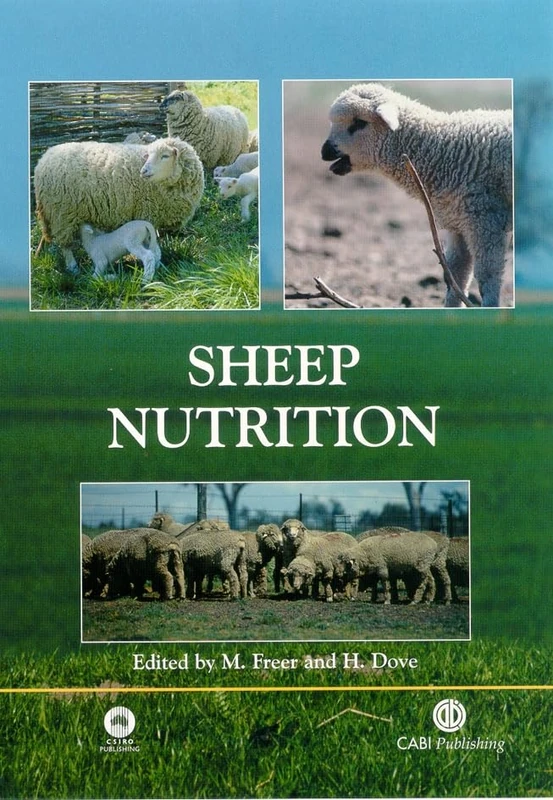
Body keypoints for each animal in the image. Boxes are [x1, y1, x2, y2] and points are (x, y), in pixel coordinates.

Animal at [34, 137, 204, 273]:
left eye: (165, 156)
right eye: (148, 155)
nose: (144, 171)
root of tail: (43, 159)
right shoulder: (147, 212)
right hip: (62, 213)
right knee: (65, 245)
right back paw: (73, 267)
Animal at [321, 82, 513, 307]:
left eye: (359, 122)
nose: (325, 151)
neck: (445, 151)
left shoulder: (485, 218)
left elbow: (487, 276)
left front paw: (490, 305)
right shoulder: (458, 223)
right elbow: (455, 278)